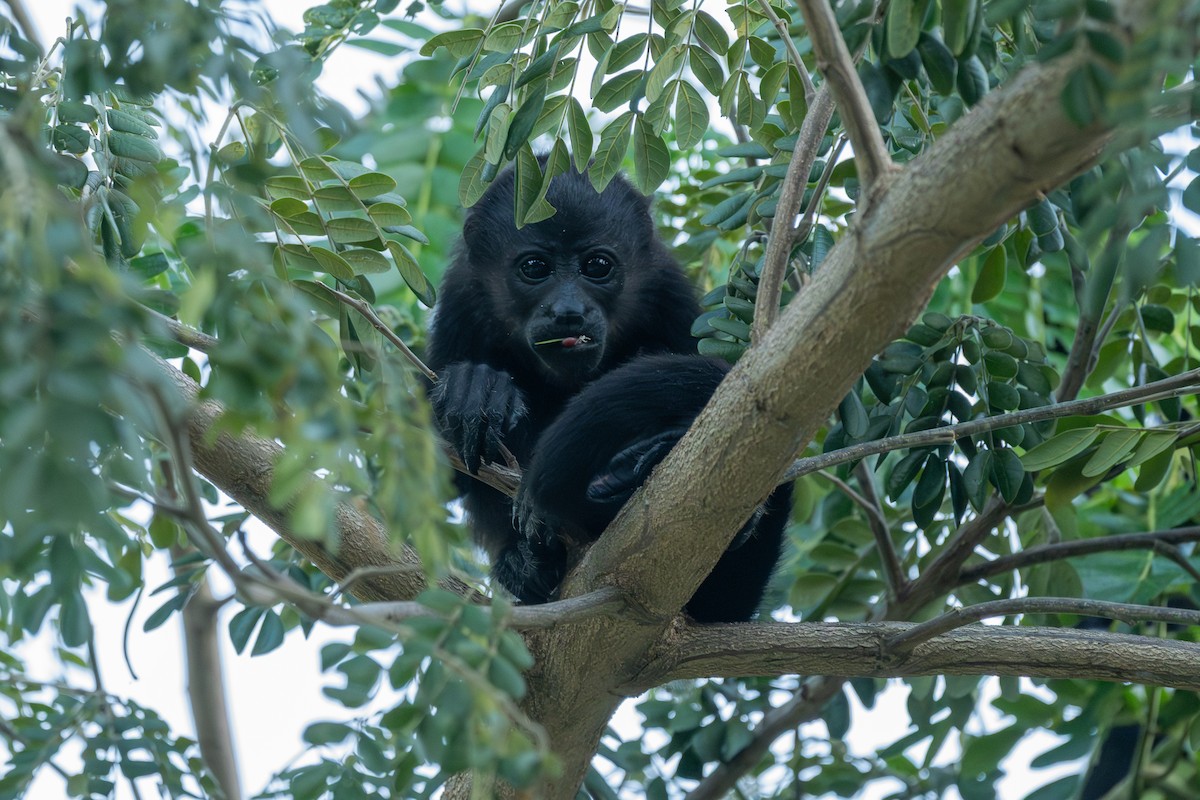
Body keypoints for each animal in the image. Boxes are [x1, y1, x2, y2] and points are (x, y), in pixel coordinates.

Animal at [426, 163, 789, 621]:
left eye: (596, 266)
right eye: (535, 267)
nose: (568, 311)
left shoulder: (667, 291)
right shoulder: (459, 303)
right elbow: (446, 474)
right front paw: (476, 388)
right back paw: (525, 564)